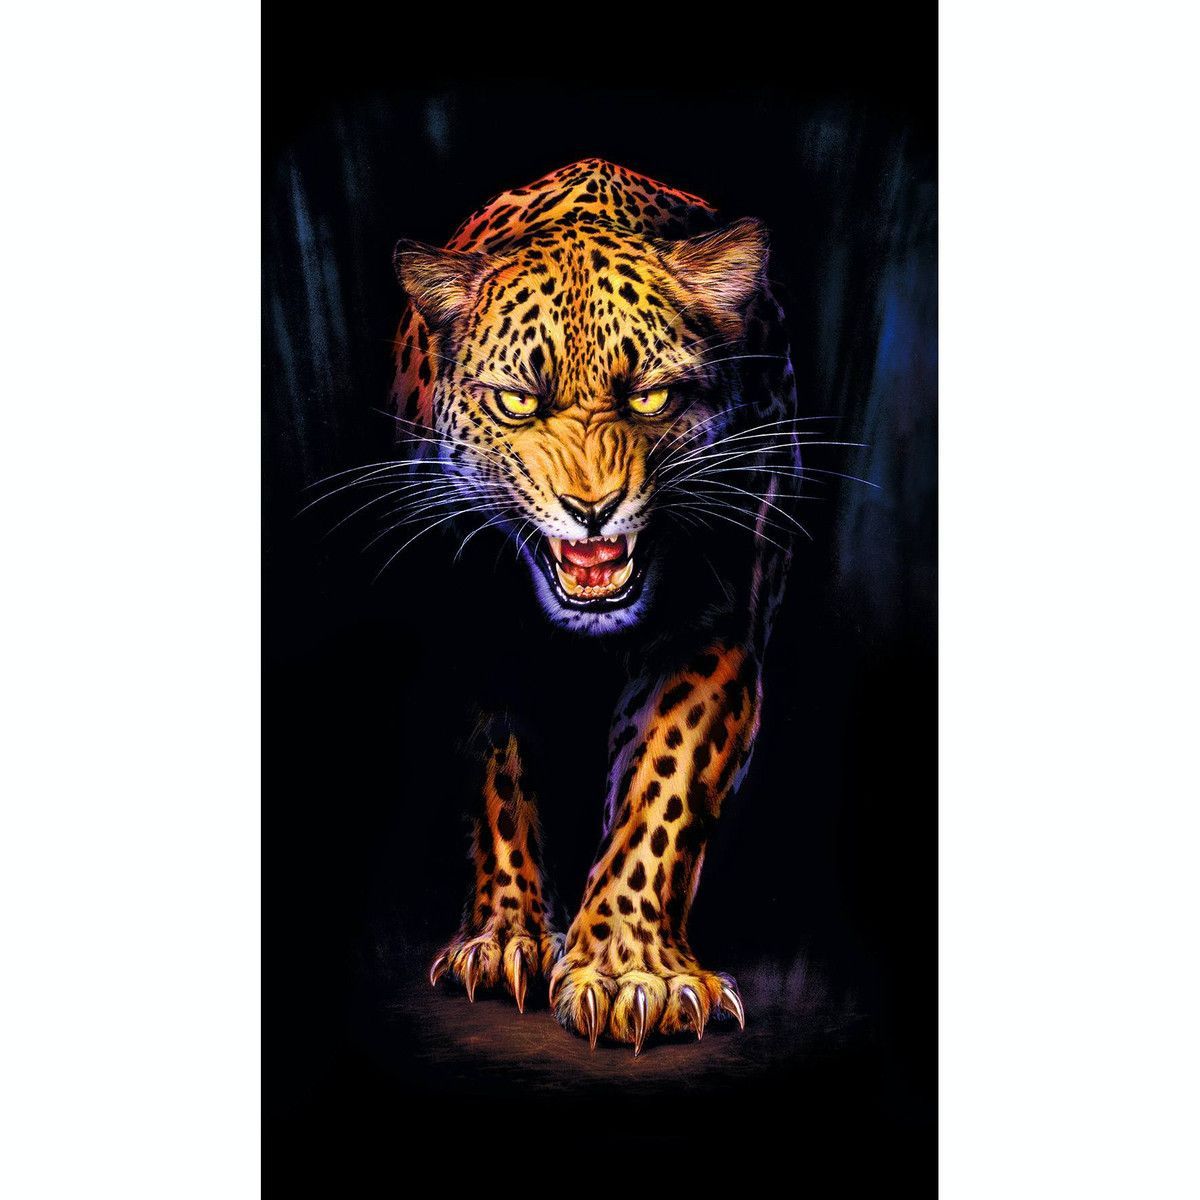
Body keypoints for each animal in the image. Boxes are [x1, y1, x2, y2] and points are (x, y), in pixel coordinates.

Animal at [388, 158, 801, 1055]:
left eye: (650, 399)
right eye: (517, 402)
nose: (592, 508)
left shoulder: (717, 627)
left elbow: (663, 787)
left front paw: (631, 972)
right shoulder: (474, 628)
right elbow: (499, 783)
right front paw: (504, 940)